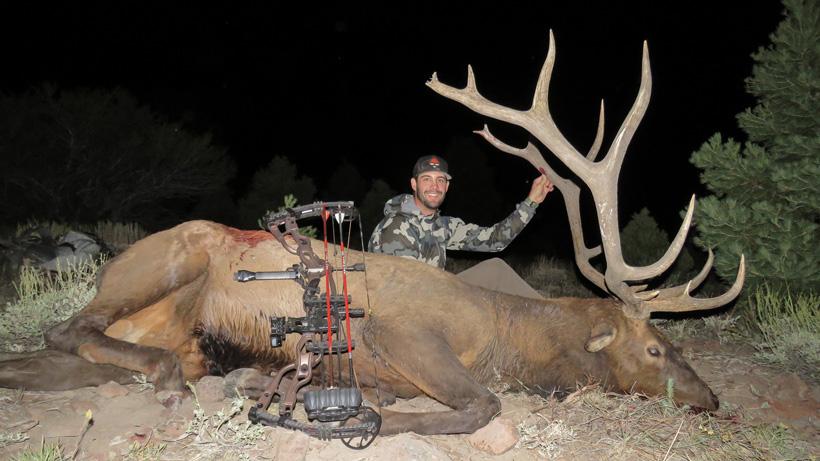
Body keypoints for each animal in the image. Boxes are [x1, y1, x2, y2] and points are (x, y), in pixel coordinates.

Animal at [0, 32, 743, 436]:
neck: (506, 337)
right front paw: (385, 419)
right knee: (65, 327)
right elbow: (481, 402)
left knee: (54, 353)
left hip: (162, 330)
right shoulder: (405, 330)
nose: (713, 397)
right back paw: (174, 383)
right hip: (161, 264)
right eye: (655, 348)